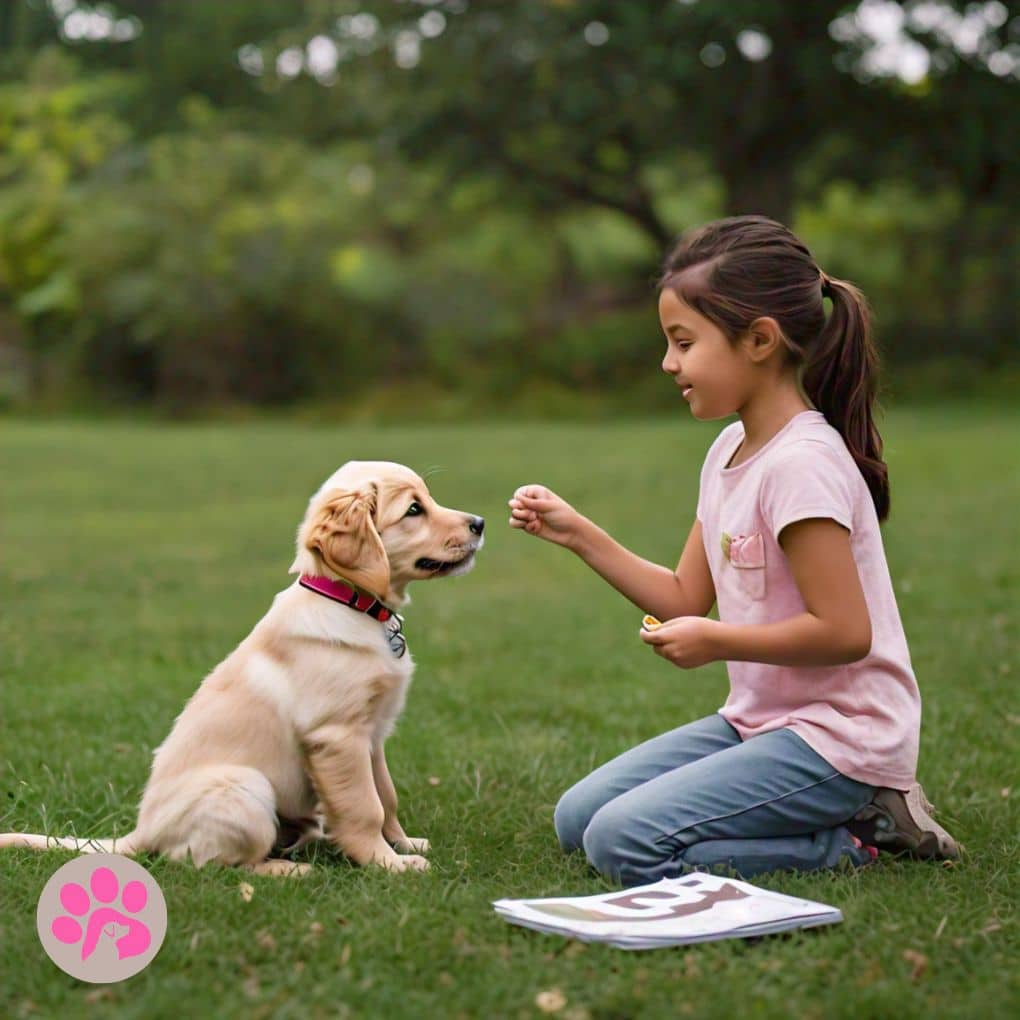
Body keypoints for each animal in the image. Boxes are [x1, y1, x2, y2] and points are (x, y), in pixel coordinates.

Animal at [0, 463, 483, 877]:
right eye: (414, 510)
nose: (479, 522)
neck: (350, 603)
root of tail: (142, 832)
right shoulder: (337, 735)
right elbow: (365, 806)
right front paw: (388, 864)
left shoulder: (373, 735)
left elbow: (386, 796)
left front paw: (403, 844)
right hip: (246, 786)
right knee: (205, 863)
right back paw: (285, 869)